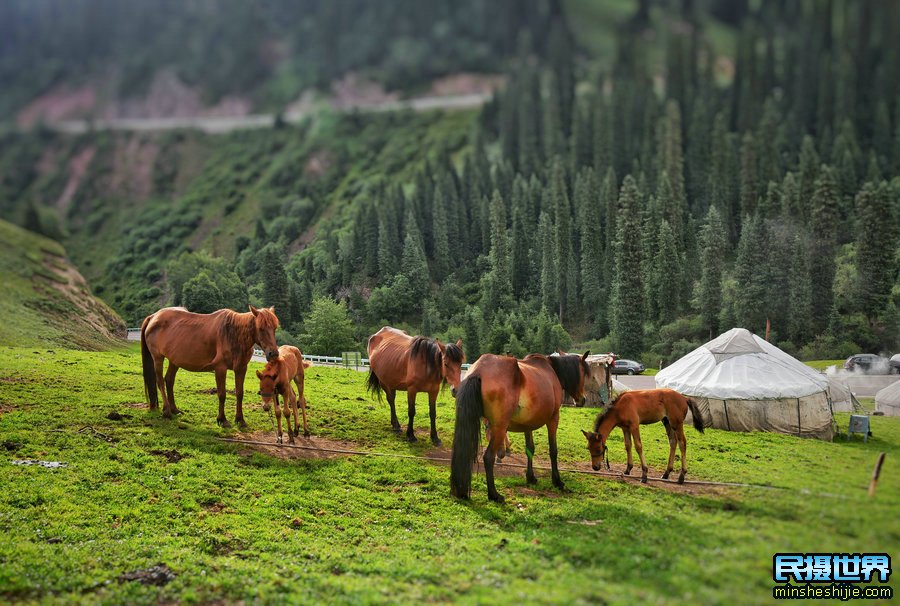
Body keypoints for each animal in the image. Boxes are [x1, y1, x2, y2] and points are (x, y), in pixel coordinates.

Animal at [141, 306, 278, 430]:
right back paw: (167, 411)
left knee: (169, 380)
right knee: (160, 382)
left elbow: (240, 394)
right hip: (158, 358)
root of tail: (153, 317)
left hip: (174, 360)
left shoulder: (241, 368)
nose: (273, 353)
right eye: (261, 328)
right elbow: (222, 394)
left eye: (275, 328)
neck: (233, 334)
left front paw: (240, 420)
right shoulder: (220, 368)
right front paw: (222, 420)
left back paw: (174, 409)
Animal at [450, 352, 592, 504]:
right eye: (583, 373)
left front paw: (531, 477)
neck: (551, 370)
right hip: (499, 428)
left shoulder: (527, 425)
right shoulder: (554, 419)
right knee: (488, 457)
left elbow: (530, 449)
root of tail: (478, 370)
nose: (582, 399)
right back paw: (494, 494)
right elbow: (553, 450)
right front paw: (557, 481)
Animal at [580, 392, 708, 486]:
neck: (620, 407)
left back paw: (681, 476)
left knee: (682, 443)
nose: (595, 467)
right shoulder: (625, 428)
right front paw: (628, 469)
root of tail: (684, 398)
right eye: (588, 448)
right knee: (673, 442)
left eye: (598, 449)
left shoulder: (634, 426)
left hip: (676, 423)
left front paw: (644, 475)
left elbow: (638, 446)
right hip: (666, 422)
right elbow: (628, 445)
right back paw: (666, 473)